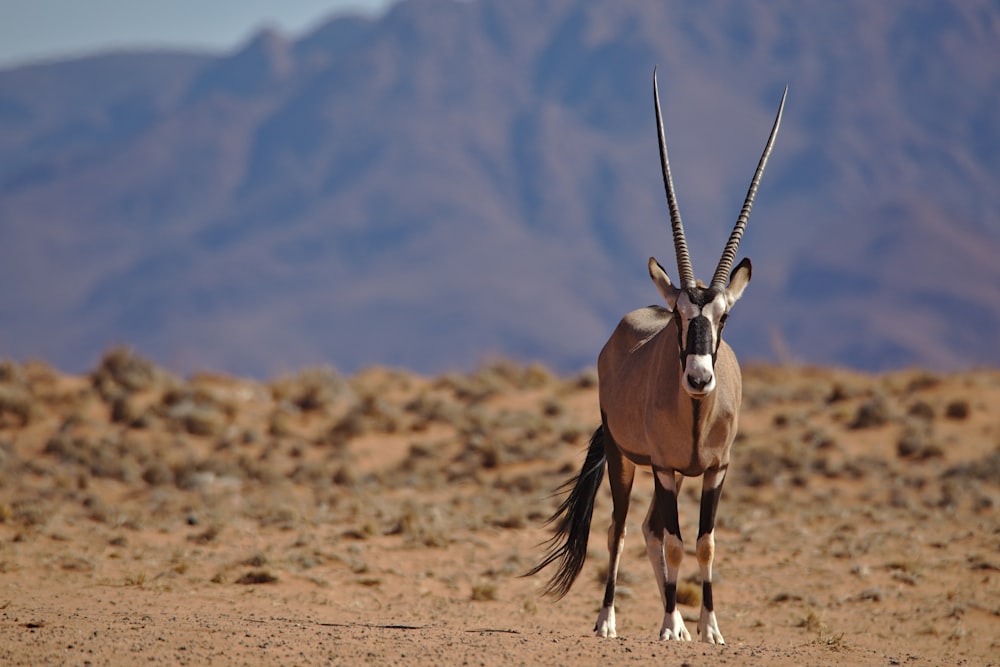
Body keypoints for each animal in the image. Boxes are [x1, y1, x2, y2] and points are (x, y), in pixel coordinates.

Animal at [528, 70, 784, 644]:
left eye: (723, 317)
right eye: (679, 316)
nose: (699, 378)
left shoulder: (716, 470)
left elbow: (704, 543)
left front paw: (709, 627)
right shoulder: (665, 468)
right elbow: (674, 541)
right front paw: (670, 625)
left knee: (647, 528)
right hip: (626, 460)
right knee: (622, 529)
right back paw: (609, 619)